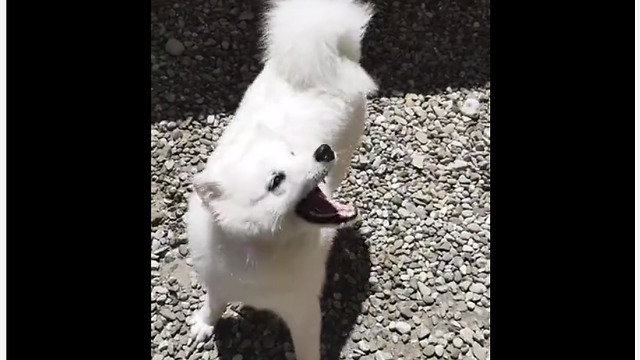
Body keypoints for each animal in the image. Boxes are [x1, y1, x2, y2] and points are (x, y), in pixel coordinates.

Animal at [184, 1, 376, 358]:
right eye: (276, 180)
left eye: (293, 153)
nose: (323, 151)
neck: (257, 254)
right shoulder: (218, 279)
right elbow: (214, 301)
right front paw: (204, 323)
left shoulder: (302, 309)